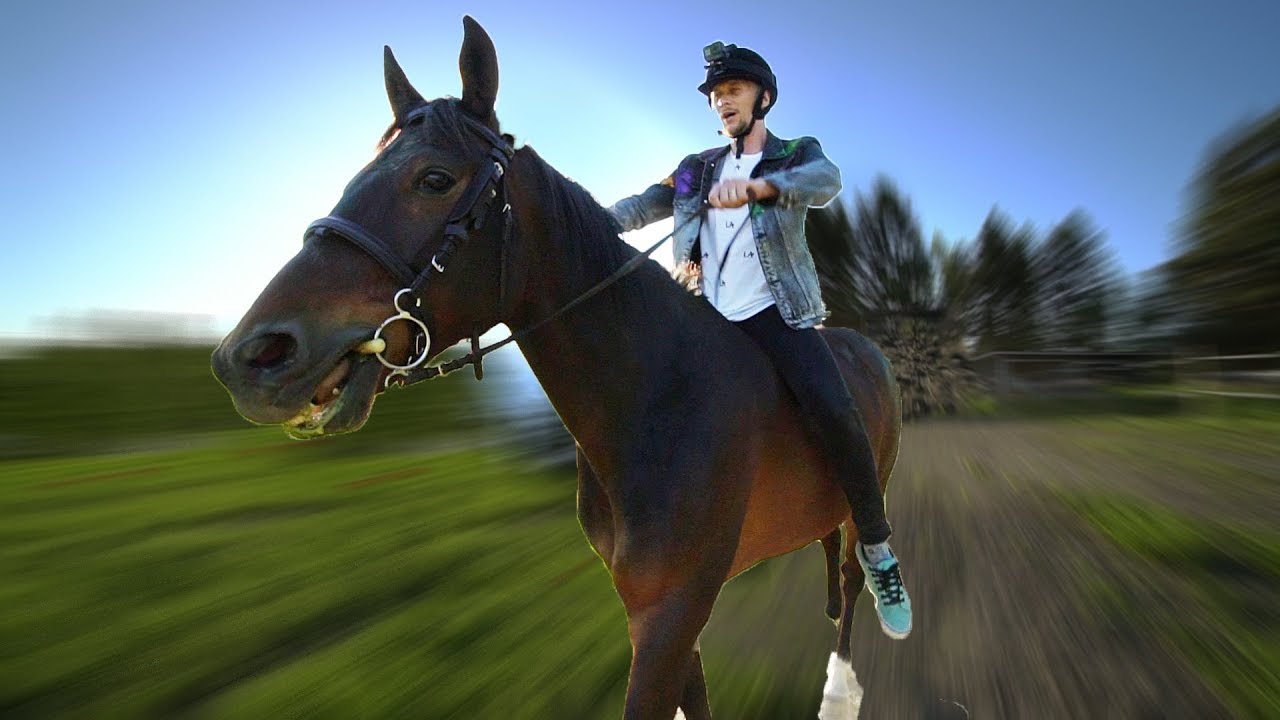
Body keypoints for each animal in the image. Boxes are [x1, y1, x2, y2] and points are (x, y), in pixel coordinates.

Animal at [211, 16, 901, 720]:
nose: (253, 358)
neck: (655, 404)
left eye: (434, 179)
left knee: (855, 569)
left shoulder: (673, 610)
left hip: (865, 490)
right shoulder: (654, 611)